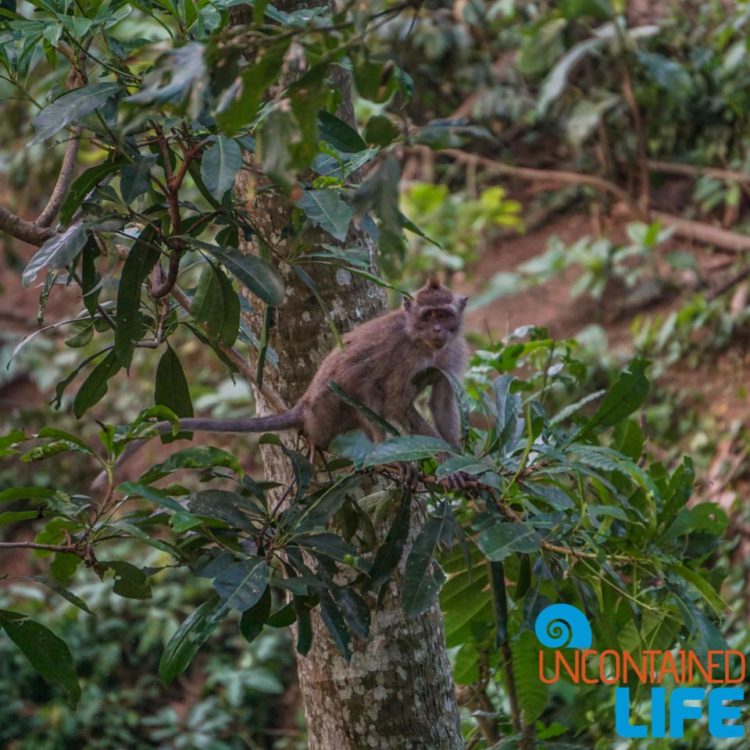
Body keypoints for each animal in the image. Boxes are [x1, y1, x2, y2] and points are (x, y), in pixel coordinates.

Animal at [106, 278, 470, 482]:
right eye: (428, 316)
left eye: (444, 315)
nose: (438, 329)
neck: (425, 344)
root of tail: (304, 407)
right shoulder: (408, 358)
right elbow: (396, 402)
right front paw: (448, 461)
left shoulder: (451, 352)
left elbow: (441, 400)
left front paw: (459, 457)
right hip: (326, 408)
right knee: (360, 384)